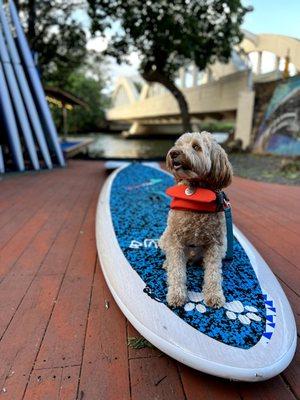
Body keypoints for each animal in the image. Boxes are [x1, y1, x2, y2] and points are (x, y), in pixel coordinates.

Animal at [158, 133, 233, 308]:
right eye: (178, 144)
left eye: (196, 147)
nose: (173, 153)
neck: (195, 191)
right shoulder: (175, 239)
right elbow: (177, 270)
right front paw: (176, 294)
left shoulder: (215, 243)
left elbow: (213, 273)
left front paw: (214, 295)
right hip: (164, 238)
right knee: (171, 257)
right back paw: (167, 263)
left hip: (224, 246)